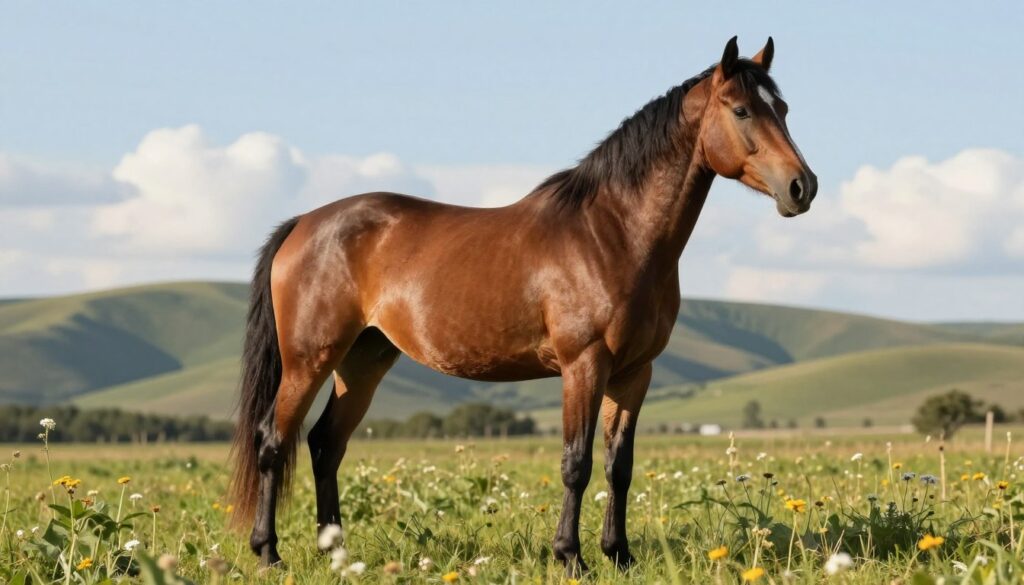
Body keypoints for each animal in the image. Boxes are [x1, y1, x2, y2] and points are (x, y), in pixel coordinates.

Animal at [230, 36, 816, 574]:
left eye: (783, 108)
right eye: (741, 110)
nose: (802, 187)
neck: (615, 233)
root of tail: (303, 223)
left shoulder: (634, 373)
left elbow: (619, 466)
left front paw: (620, 555)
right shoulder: (584, 365)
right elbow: (577, 463)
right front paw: (571, 557)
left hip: (364, 359)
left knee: (326, 444)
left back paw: (338, 554)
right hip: (309, 361)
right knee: (273, 442)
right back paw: (269, 554)